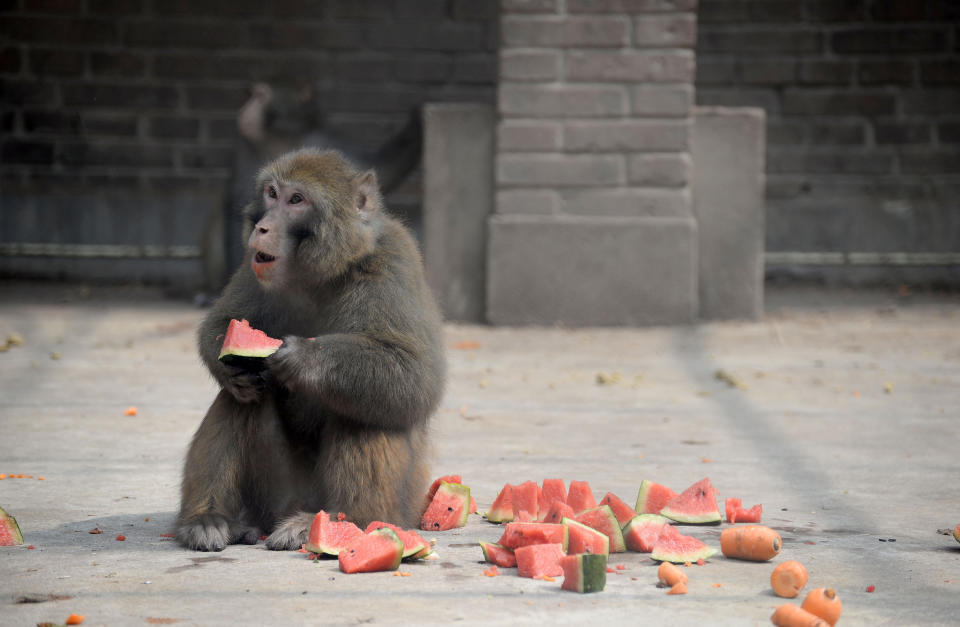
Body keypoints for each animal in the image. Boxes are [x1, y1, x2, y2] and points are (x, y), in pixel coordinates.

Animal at [177, 150, 446, 552]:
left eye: (296, 200)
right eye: (272, 193)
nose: (263, 228)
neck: (318, 276)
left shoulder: (394, 263)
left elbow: (415, 376)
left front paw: (303, 358)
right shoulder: (253, 264)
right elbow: (222, 325)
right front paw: (234, 369)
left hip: (399, 504)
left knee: (368, 407)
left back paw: (343, 521)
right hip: (274, 497)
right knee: (238, 400)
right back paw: (208, 518)